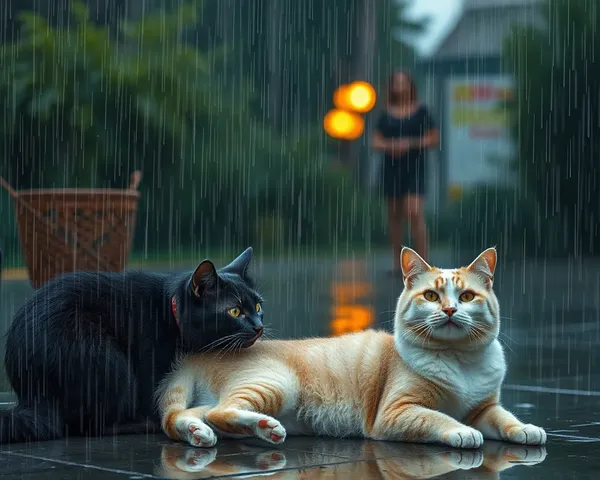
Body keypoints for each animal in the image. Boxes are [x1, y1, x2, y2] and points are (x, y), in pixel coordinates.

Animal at [1, 248, 264, 442]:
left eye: (258, 306)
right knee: (85, 426)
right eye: (234, 311)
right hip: (106, 360)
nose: (258, 326)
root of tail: (32, 394)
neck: (170, 313)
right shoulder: (150, 364)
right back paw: (140, 425)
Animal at [157, 248, 548, 450]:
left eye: (466, 296)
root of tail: (196, 357)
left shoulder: (484, 407)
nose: (450, 310)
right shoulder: (396, 412)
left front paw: (527, 429)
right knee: (221, 411)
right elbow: (439, 418)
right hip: (275, 383)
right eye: (431, 296)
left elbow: (506, 418)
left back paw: (200, 434)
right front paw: (464, 432)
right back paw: (267, 429)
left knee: (184, 417)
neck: (459, 360)